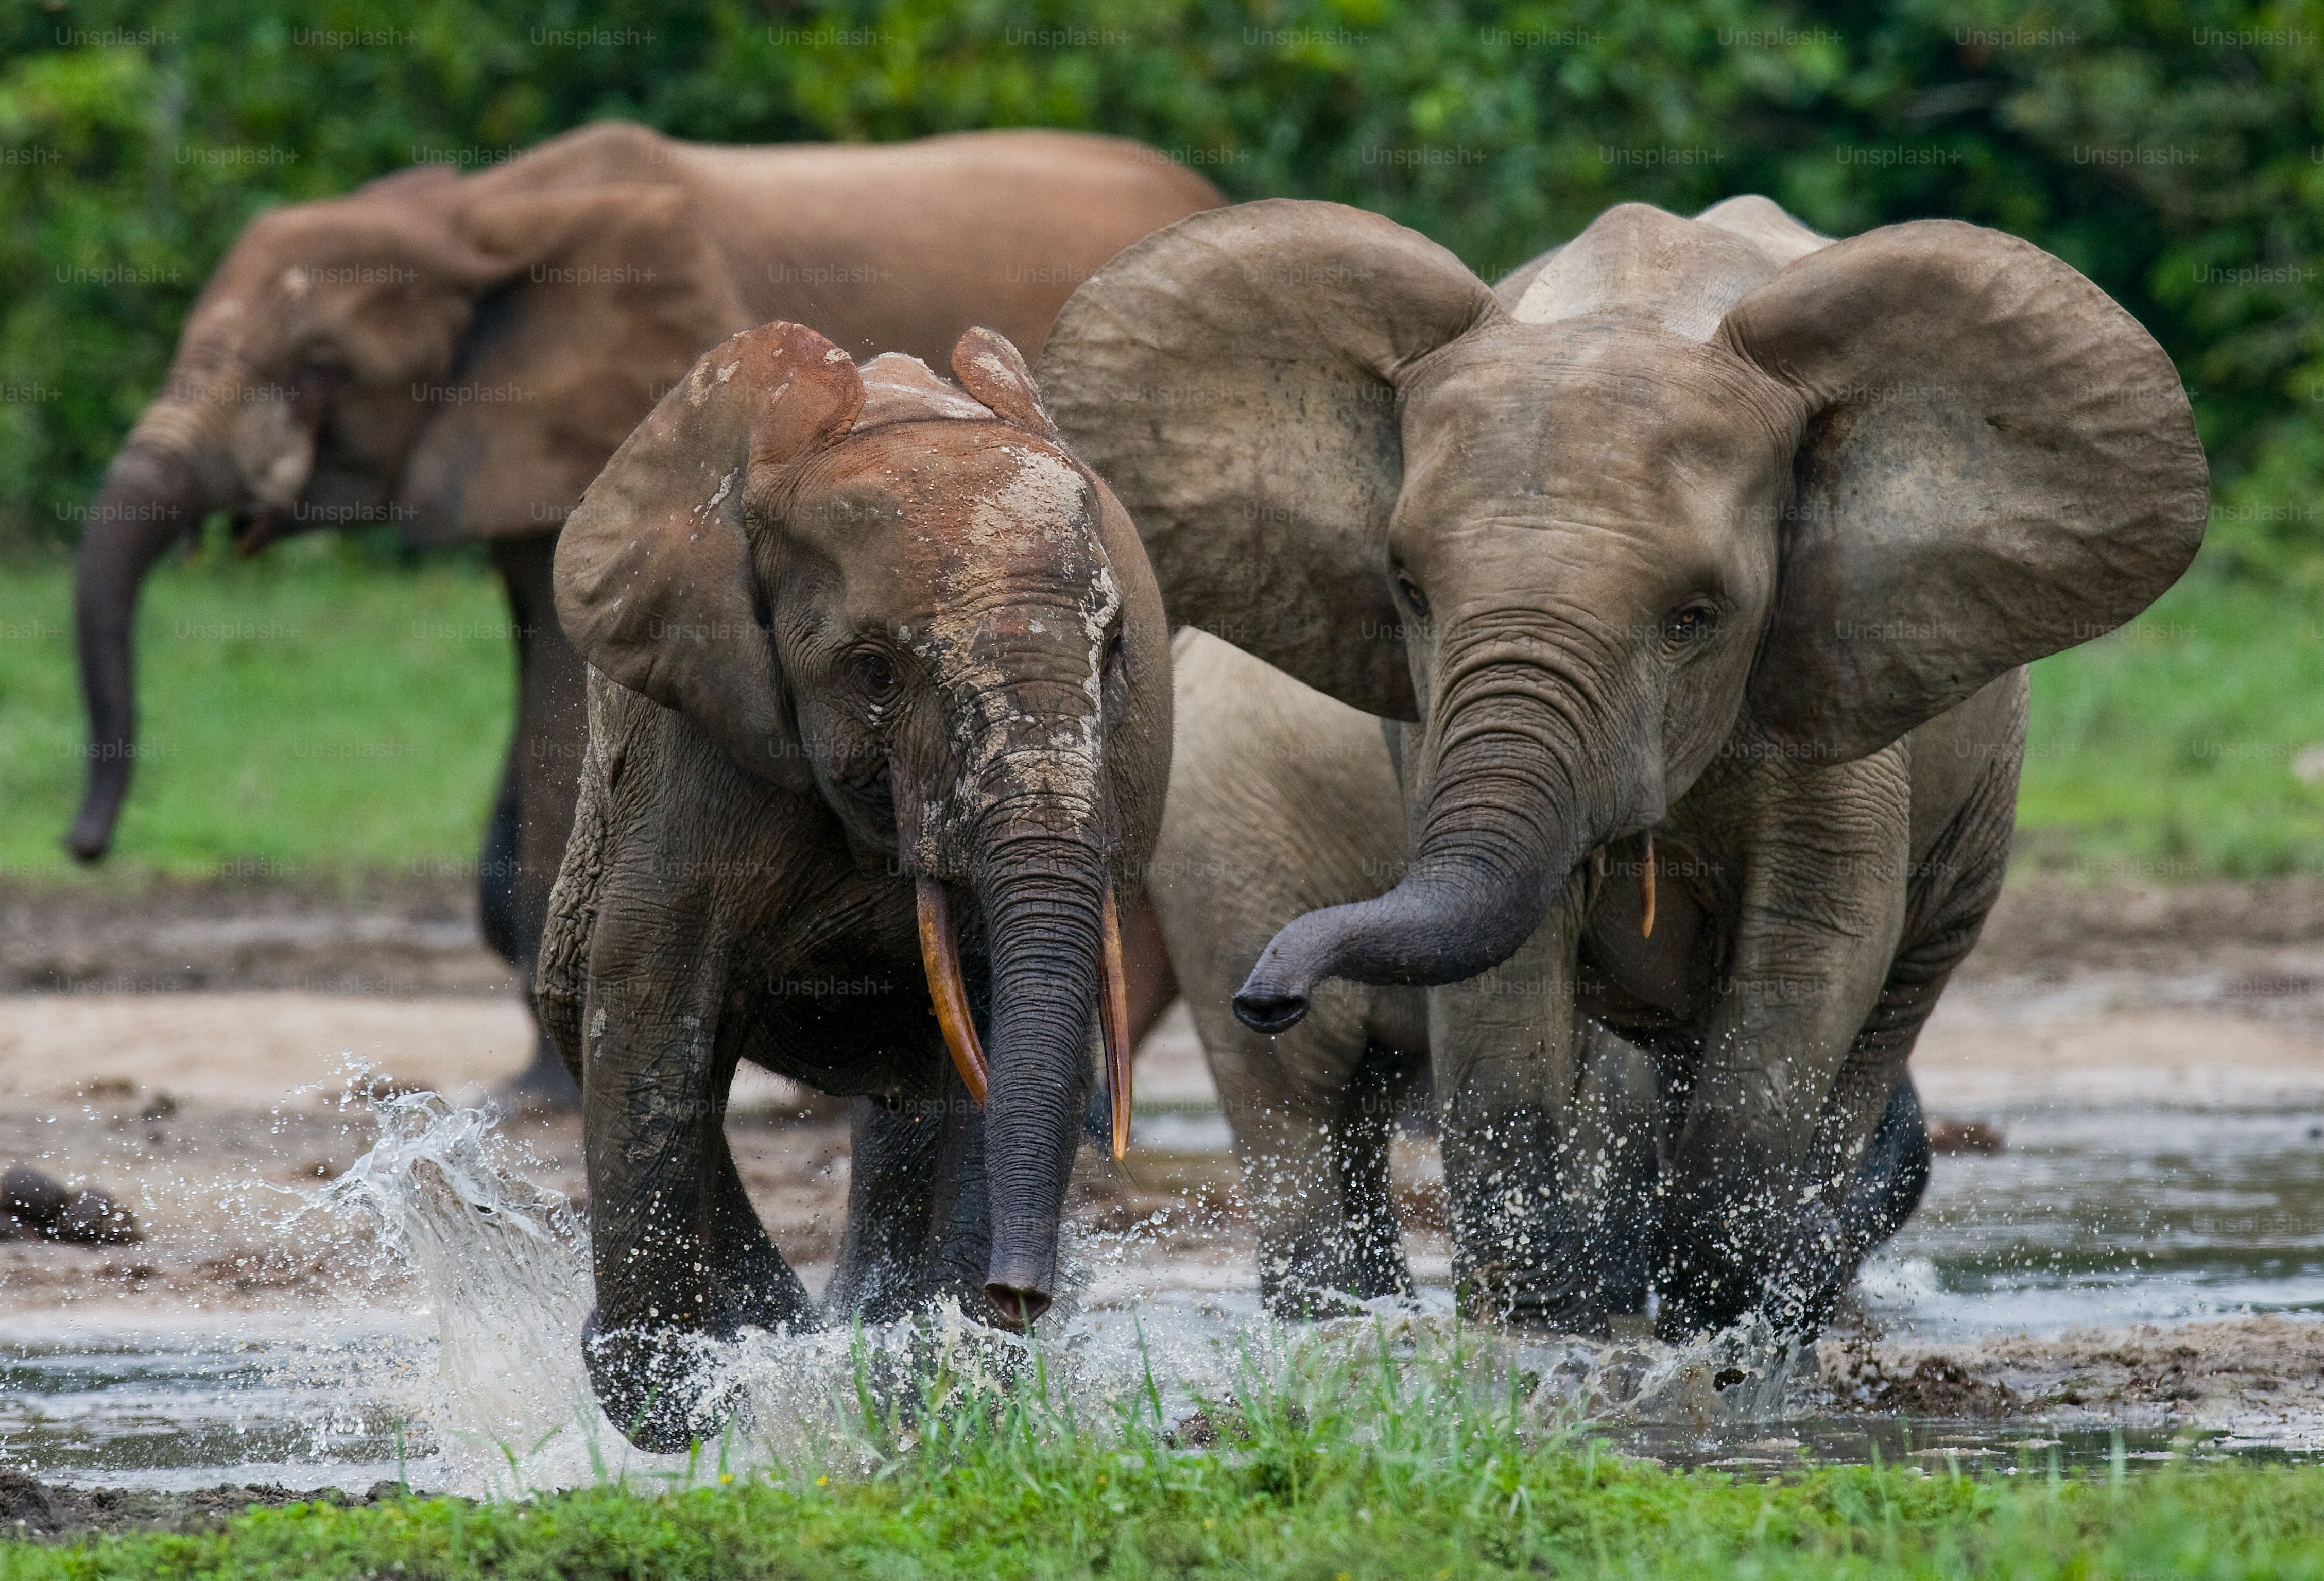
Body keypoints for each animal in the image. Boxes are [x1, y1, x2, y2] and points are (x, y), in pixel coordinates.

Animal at [535, 319, 1170, 1449]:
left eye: (1111, 653)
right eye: (874, 670)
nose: (1022, 1296)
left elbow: (999, 1030)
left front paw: (943, 1389)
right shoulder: (701, 735)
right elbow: (653, 996)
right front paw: (679, 1400)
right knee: (578, 999)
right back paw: (795, 1336)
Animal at [1041, 195, 2205, 1338]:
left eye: (1696, 616)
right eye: (1408, 590)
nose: (1268, 991)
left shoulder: (1833, 667)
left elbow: (1816, 937)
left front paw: (1713, 1327)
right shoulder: (1428, 722)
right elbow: (1511, 968)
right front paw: (1544, 1321)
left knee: (1881, 1006)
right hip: (1228, 841)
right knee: (1300, 1098)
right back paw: (1343, 1311)